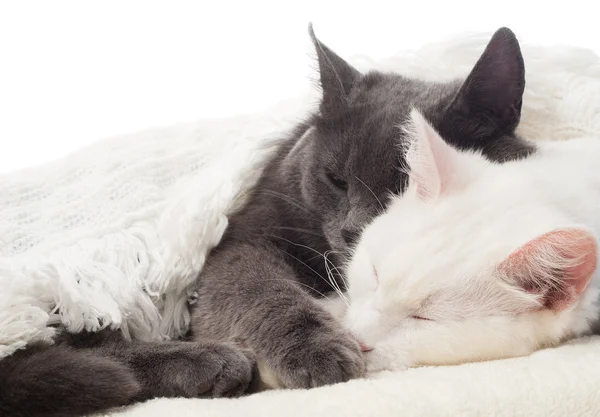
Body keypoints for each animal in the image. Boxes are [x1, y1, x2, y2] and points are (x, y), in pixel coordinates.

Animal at [0, 24, 536, 414]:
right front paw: (319, 351)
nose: (354, 227)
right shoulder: (241, 237)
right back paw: (210, 363)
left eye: (407, 185)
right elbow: (260, 289)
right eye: (336, 179)